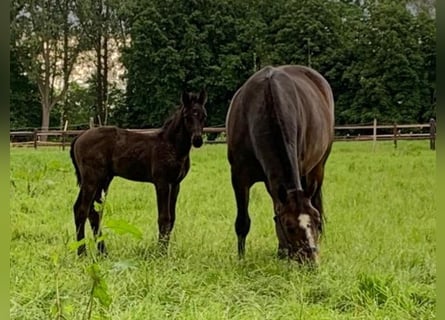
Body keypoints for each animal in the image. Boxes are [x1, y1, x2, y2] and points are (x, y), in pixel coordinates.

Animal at [70, 89, 207, 255]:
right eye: (187, 116)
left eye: (204, 116)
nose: (198, 140)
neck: (171, 145)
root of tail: (79, 137)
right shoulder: (162, 183)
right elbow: (164, 217)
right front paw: (160, 252)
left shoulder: (175, 184)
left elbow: (172, 218)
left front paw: (164, 250)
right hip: (91, 179)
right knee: (81, 210)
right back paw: (82, 253)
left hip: (103, 180)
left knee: (93, 212)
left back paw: (103, 252)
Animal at [225, 65, 332, 264]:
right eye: (289, 226)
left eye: (315, 220)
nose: (311, 261)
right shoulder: (239, 177)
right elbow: (243, 222)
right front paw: (241, 259)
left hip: (318, 168)